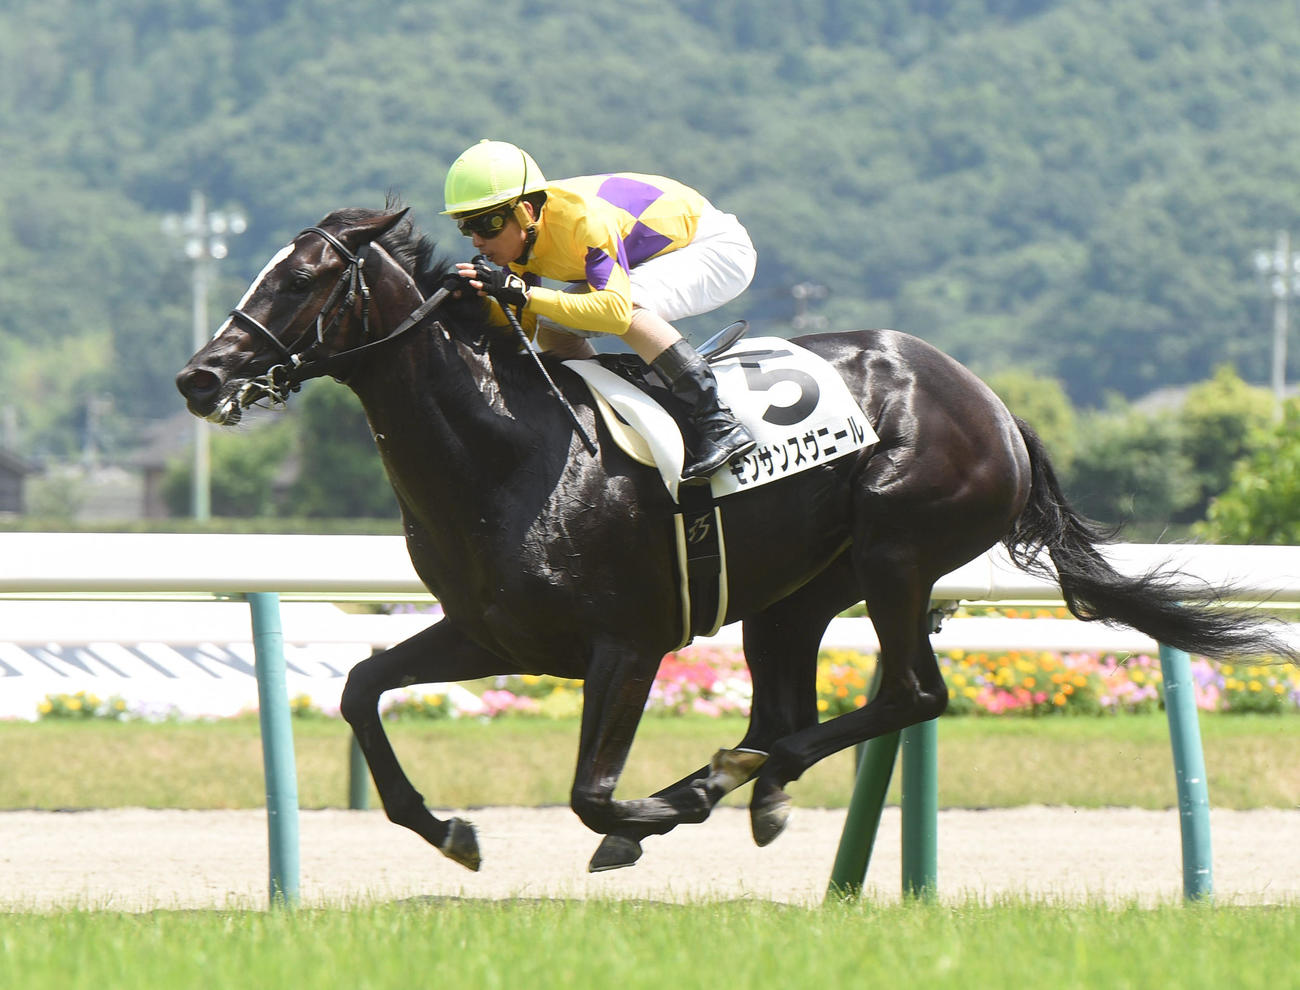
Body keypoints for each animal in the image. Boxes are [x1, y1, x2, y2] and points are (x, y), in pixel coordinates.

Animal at [176, 206, 1295, 874]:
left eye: (302, 279)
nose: (199, 375)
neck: (508, 450)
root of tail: (993, 404)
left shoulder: (627, 644)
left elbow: (591, 795)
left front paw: (647, 820)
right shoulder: (491, 633)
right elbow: (362, 687)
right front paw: (448, 831)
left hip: (897, 554)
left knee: (909, 694)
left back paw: (720, 783)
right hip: (795, 594)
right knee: (790, 703)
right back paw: (756, 787)